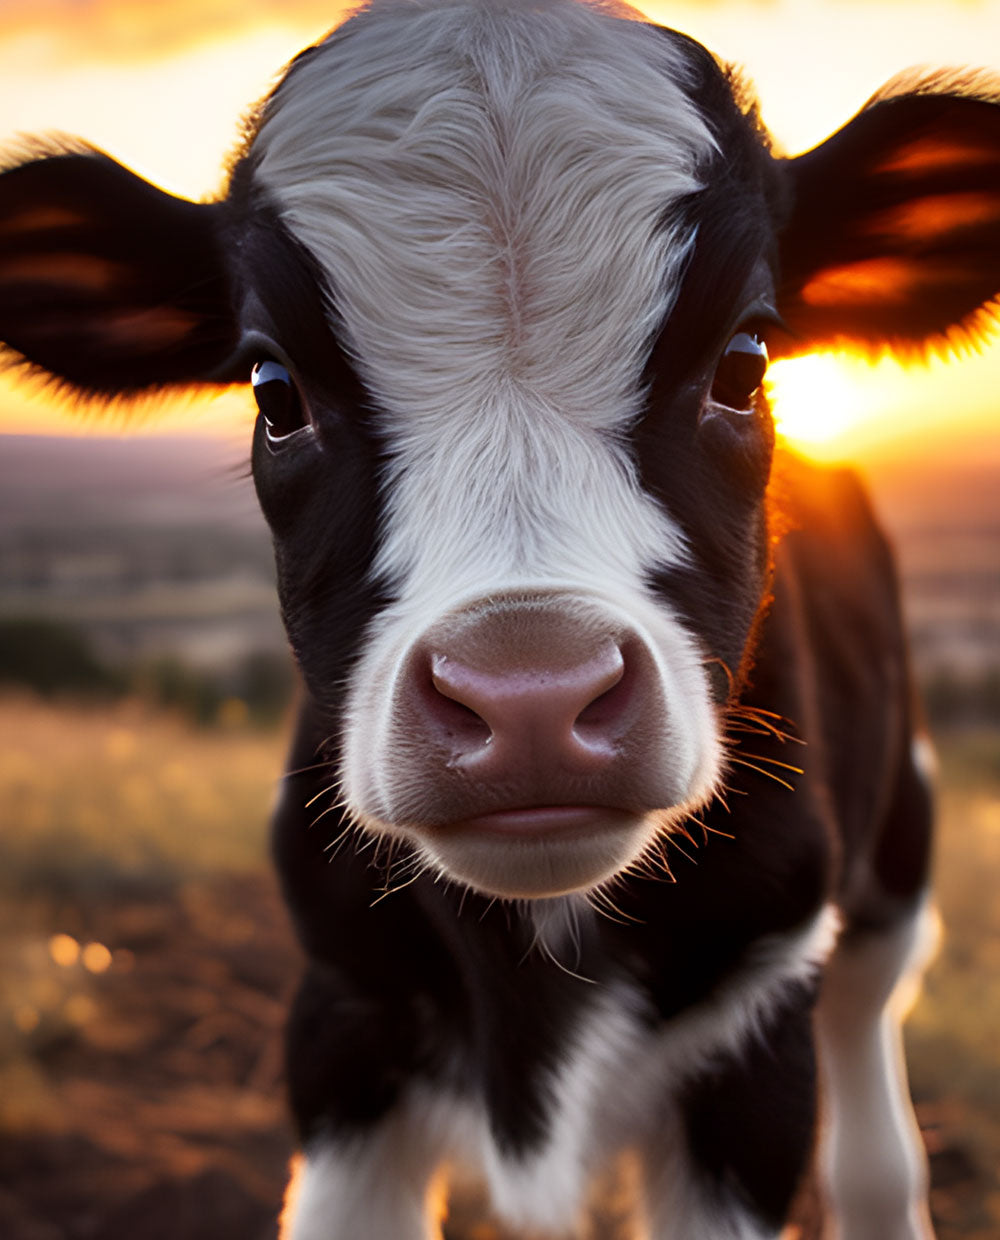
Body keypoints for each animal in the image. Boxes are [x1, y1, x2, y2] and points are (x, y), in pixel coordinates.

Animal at [2, 1, 999, 1235]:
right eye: (274, 391)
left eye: (745, 357)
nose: (530, 693)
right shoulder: (342, 1025)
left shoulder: (754, 1042)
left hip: (895, 841)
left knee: (873, 1079)